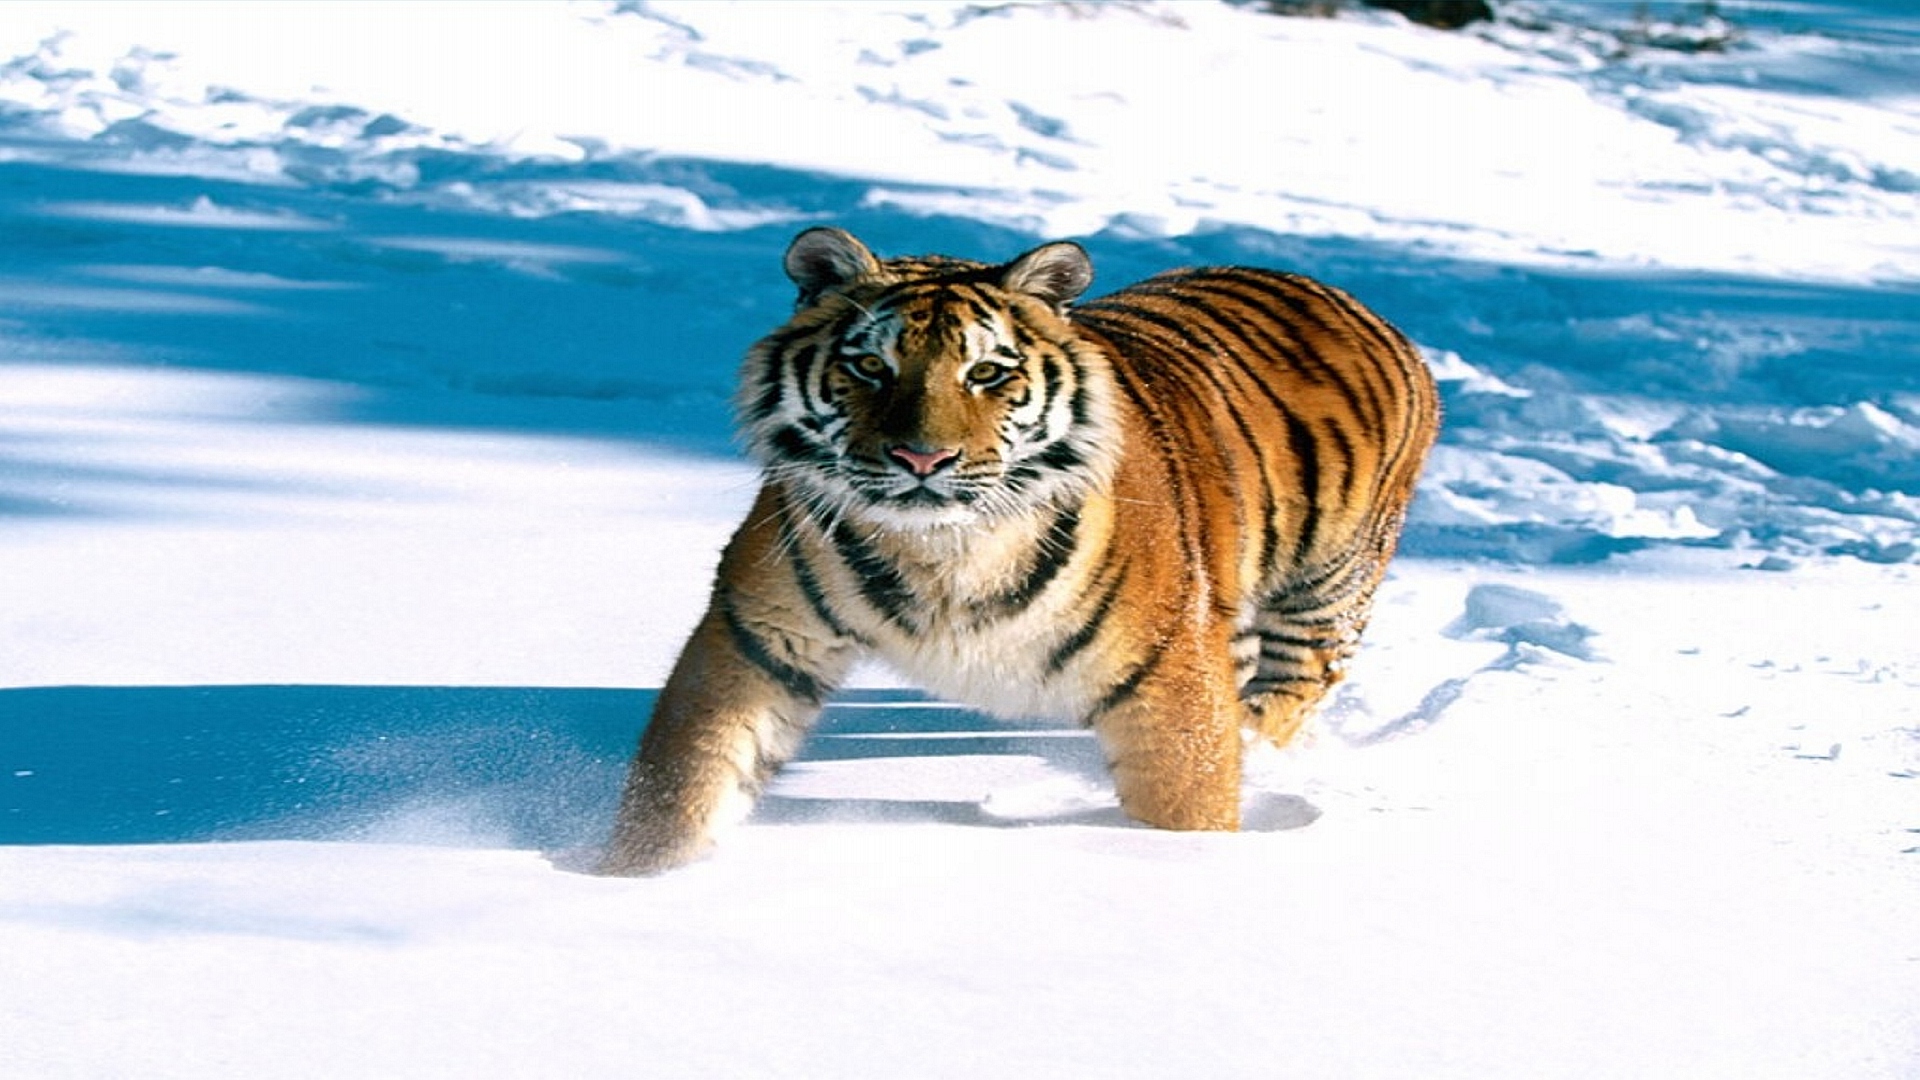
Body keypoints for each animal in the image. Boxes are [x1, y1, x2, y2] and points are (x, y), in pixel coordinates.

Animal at [598, 227, 1438, 875]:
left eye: (987, 372)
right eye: (870, 365)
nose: (923, 458)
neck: (942, 550)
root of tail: (1347, 298)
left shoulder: (1167, 673)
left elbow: (1188, 798)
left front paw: (1188, 864)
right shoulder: (758, 635)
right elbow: (689, 776)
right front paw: (626, 876)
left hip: (1325, 592)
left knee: (1286, 694)